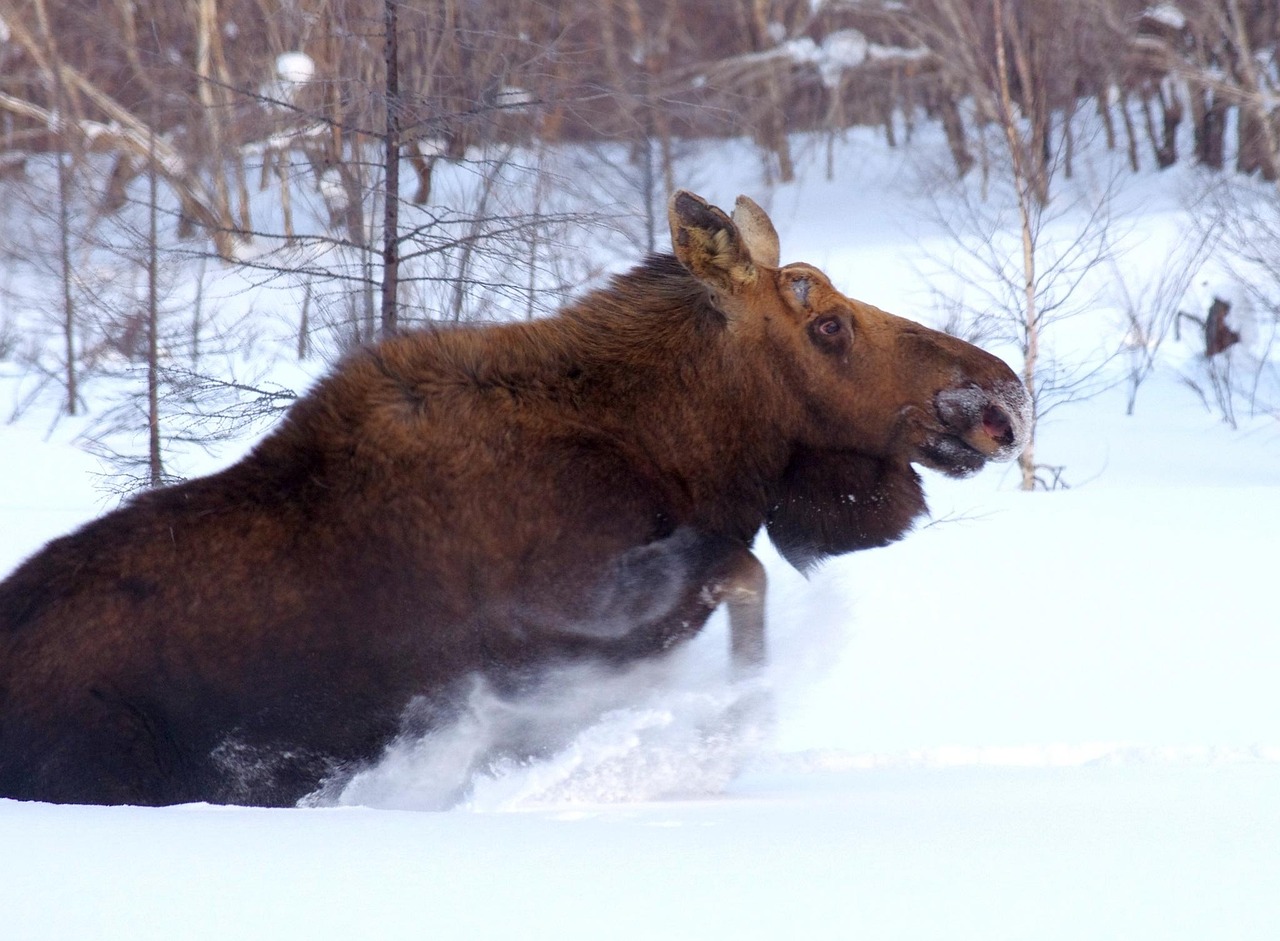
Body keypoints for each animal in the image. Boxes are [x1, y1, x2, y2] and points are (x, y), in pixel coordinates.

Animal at [0, 193, 1029, 809]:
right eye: (828, 325)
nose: (1000, 395)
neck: (686, 451)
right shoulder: (577, 607)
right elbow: (743, 577)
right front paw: (715, 739)